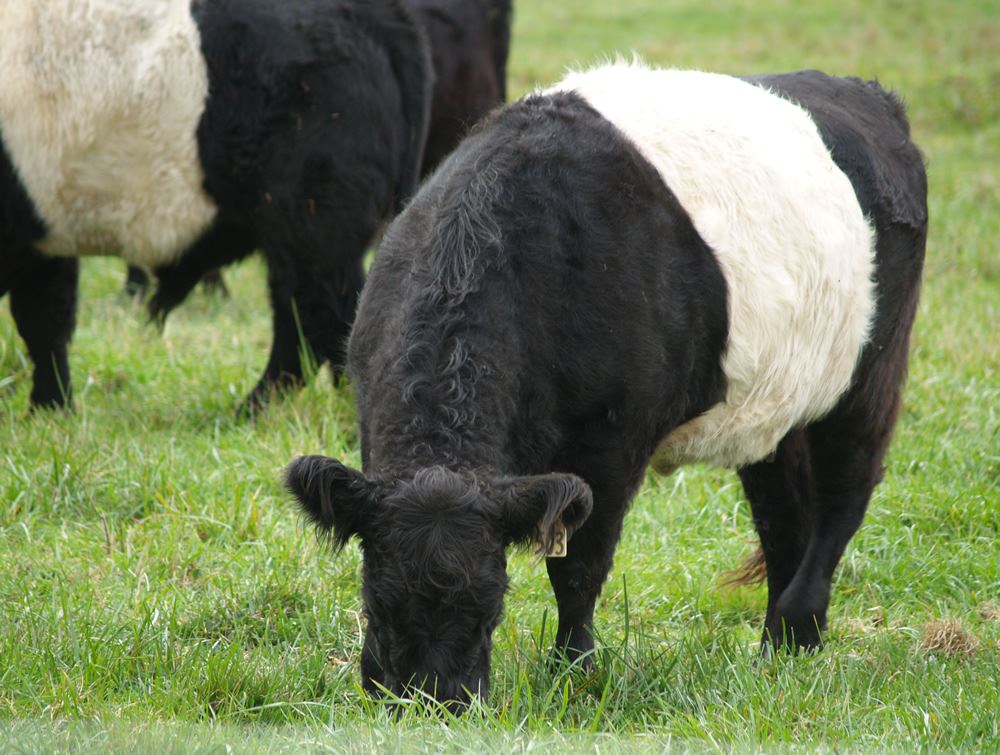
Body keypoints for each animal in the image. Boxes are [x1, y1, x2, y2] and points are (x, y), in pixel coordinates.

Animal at [0, 0, 432, 412]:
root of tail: (377, 13)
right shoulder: (45, 241)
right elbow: (45, 322)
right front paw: (51, 409)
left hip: (311, 226)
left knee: (318, 319)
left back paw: (261, 410)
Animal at [286, 61, 928, 708]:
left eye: (491, 605)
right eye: (377, 600)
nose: (431, 700)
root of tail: (865, 92)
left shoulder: (613, 440)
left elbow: (579, 568)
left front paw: (574, 670)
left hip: (868, 373)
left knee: (845, 493)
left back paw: (799, 623)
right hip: (777, 402)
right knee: (783, 515)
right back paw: (782, 648)